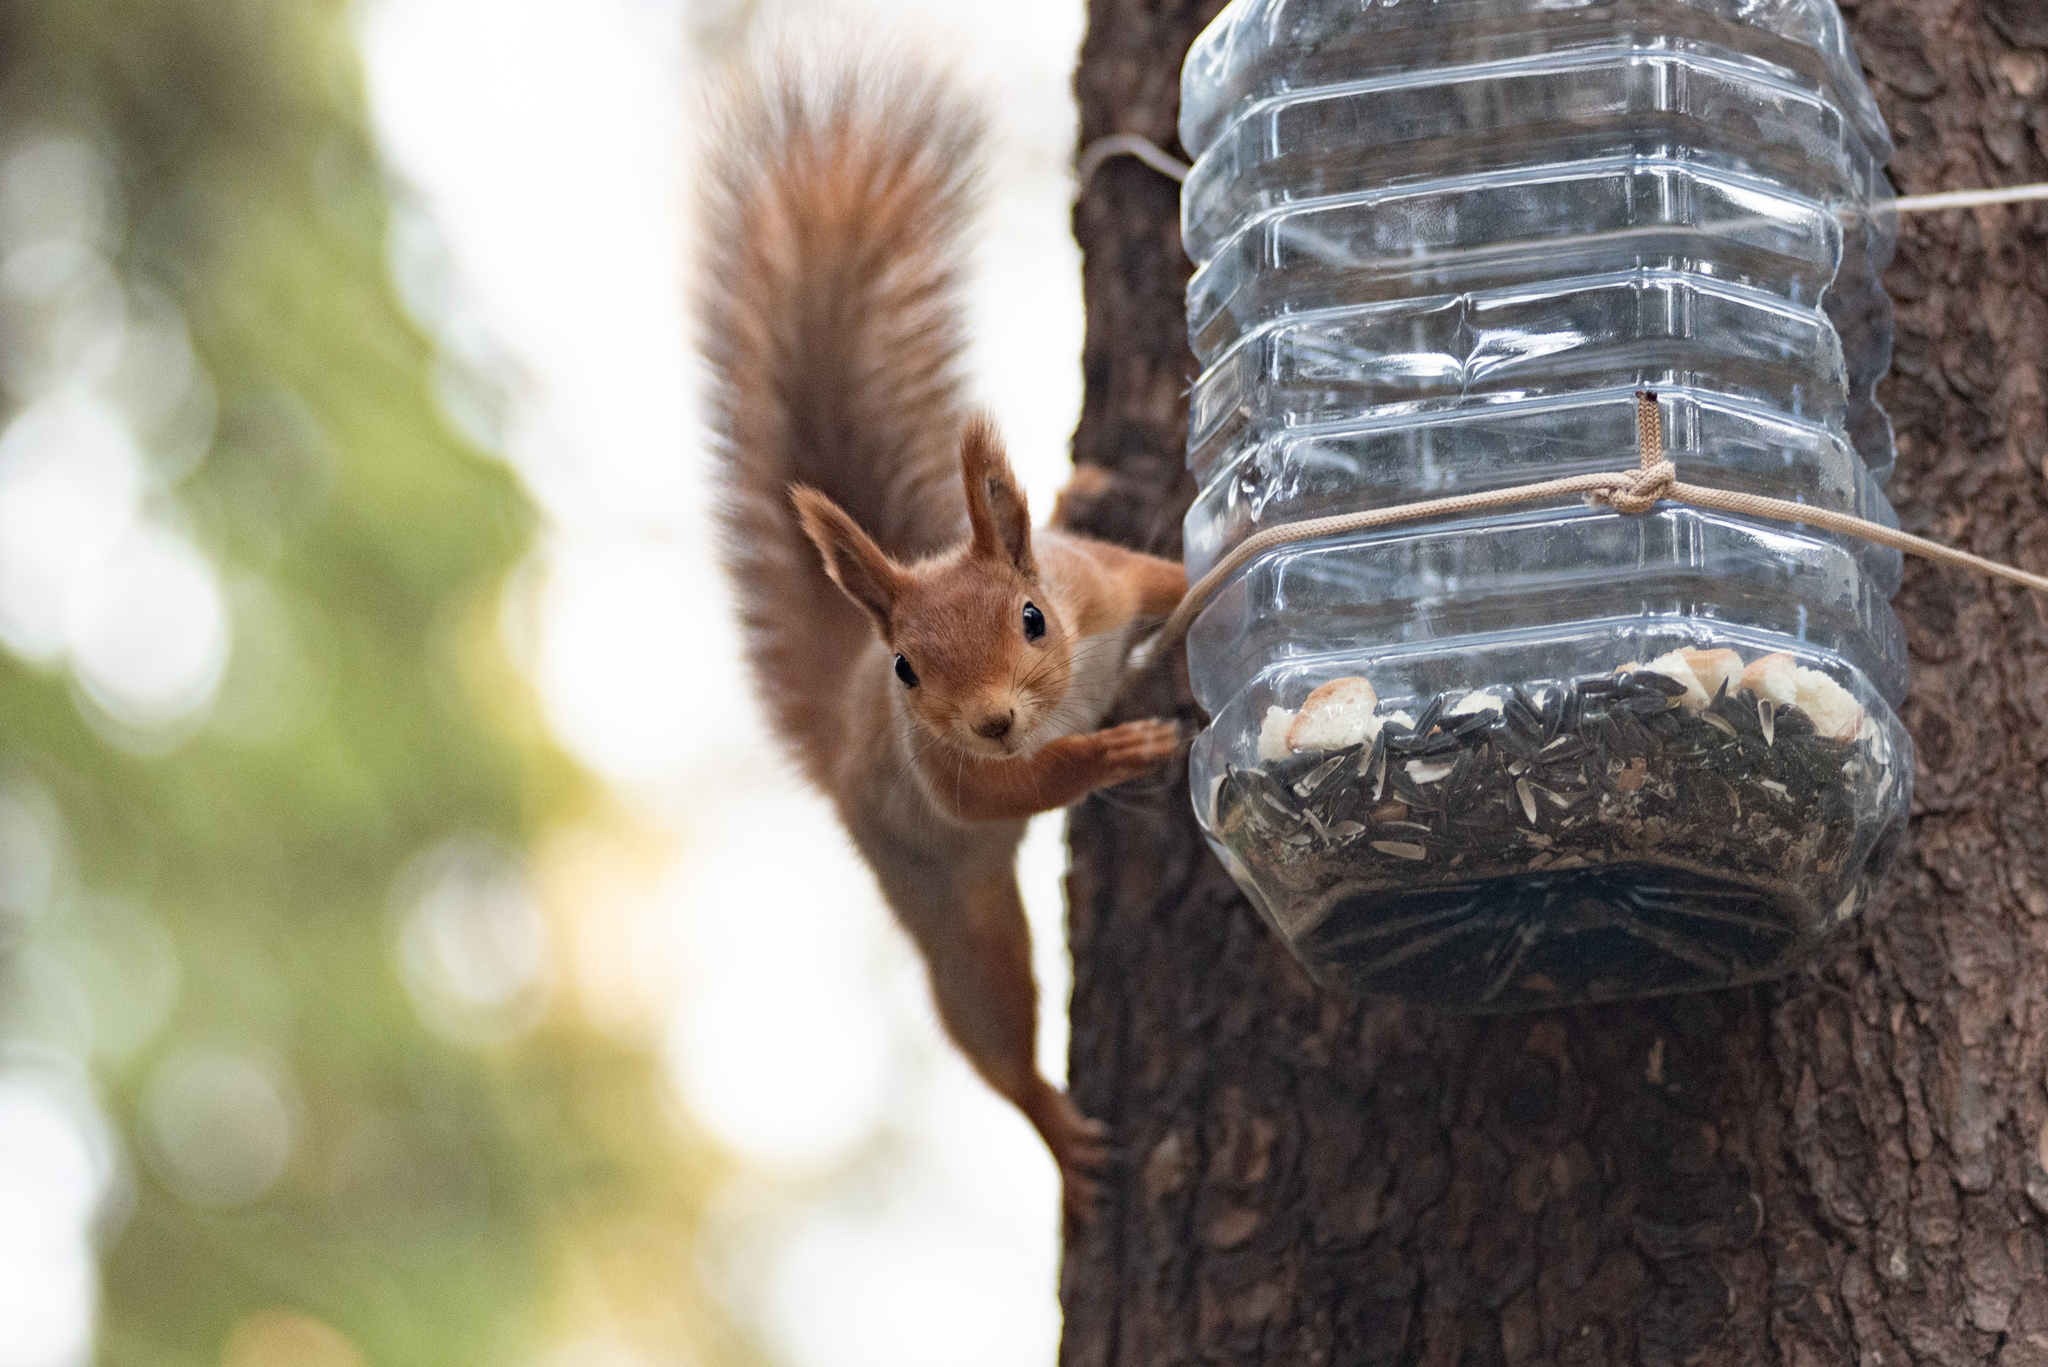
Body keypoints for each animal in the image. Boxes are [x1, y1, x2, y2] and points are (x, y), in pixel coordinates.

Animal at [704, 64, 1187, 1221]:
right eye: (908, 669)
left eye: (1032, 618)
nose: (995, 718)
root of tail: (838, 736)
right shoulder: (942, 774)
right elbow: (1012, 786)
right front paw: (1109, 754)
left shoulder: (1104, 585)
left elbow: (1169, 580)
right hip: (936, 893)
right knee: (991, 1030)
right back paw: (1056, 1125)